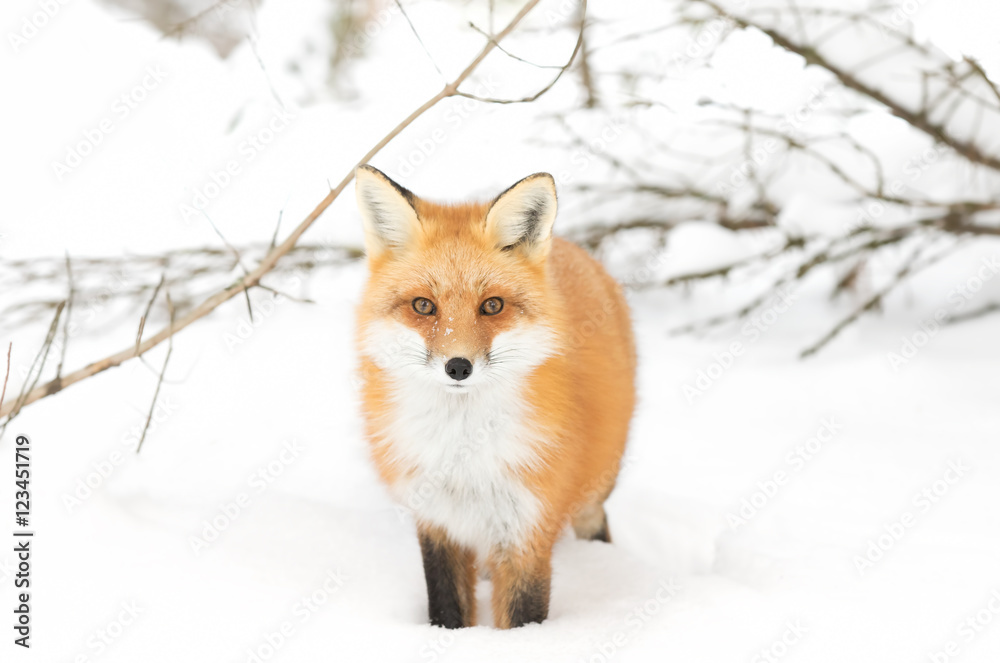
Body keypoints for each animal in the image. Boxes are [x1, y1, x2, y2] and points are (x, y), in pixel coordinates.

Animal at [354, 165, 632, 628]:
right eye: (423, 306)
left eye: (492, 306)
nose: (458, 366)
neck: (464, 454)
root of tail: (575, 249)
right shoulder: (437, 521)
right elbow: (446, 605)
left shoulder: (527, 526)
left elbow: (524, 615)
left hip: (595, 486)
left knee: (596, 519)